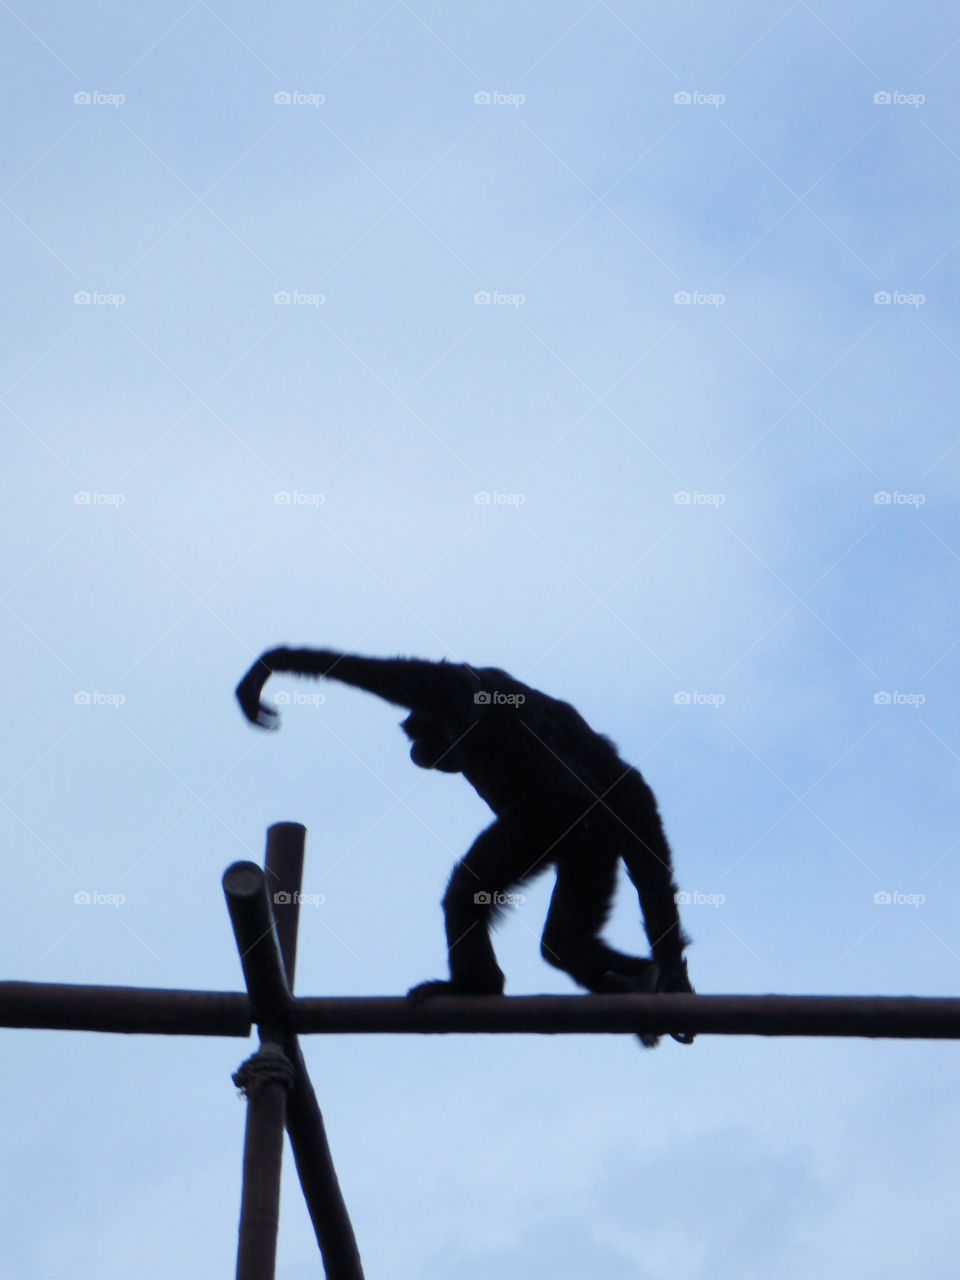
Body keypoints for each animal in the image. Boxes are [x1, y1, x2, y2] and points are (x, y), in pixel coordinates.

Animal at [236, 647, 694, 1046]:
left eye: (420, 733)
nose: (415, 750)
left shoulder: (464, 699)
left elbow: (426, 680)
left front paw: (273, 663)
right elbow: (628, 785)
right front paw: (671, 966)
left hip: (550, 829)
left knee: (472, 894)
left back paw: (478, 986)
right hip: (588, 848)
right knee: (564, 941)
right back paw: (644, 976)